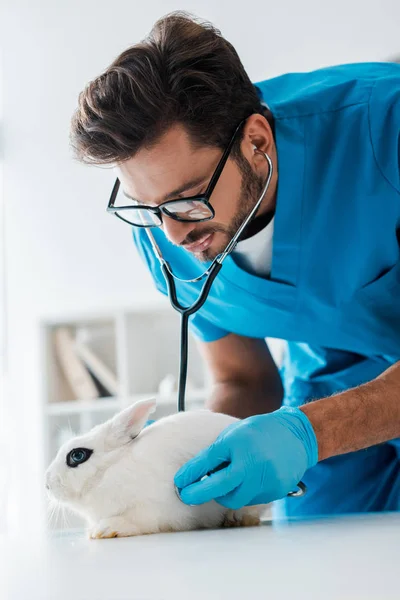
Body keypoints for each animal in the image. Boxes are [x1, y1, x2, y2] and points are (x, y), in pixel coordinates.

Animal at [45, 398, 264, 540]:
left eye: (77, 455)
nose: (47, 484)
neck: (109, 472)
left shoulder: (150, 509)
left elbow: (135, 520)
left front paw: (105, 529)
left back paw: (237, 518)